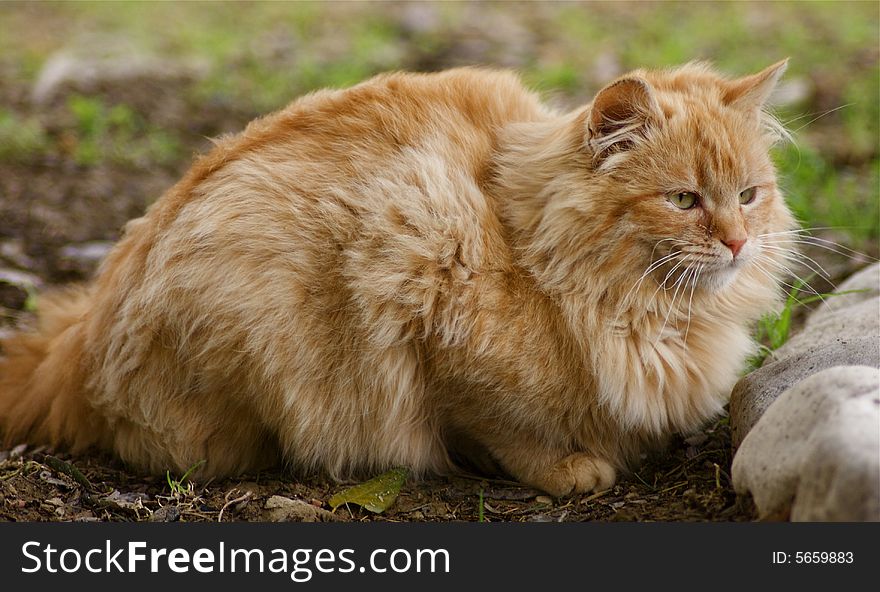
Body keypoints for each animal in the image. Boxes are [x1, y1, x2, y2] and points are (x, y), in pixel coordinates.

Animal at [0, 61, 796, 494]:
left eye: (749, 195)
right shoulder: (425, 275)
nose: (737, 241)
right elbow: (501, 425)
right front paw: (570, 466)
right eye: (683, 200)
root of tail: (77, 338)